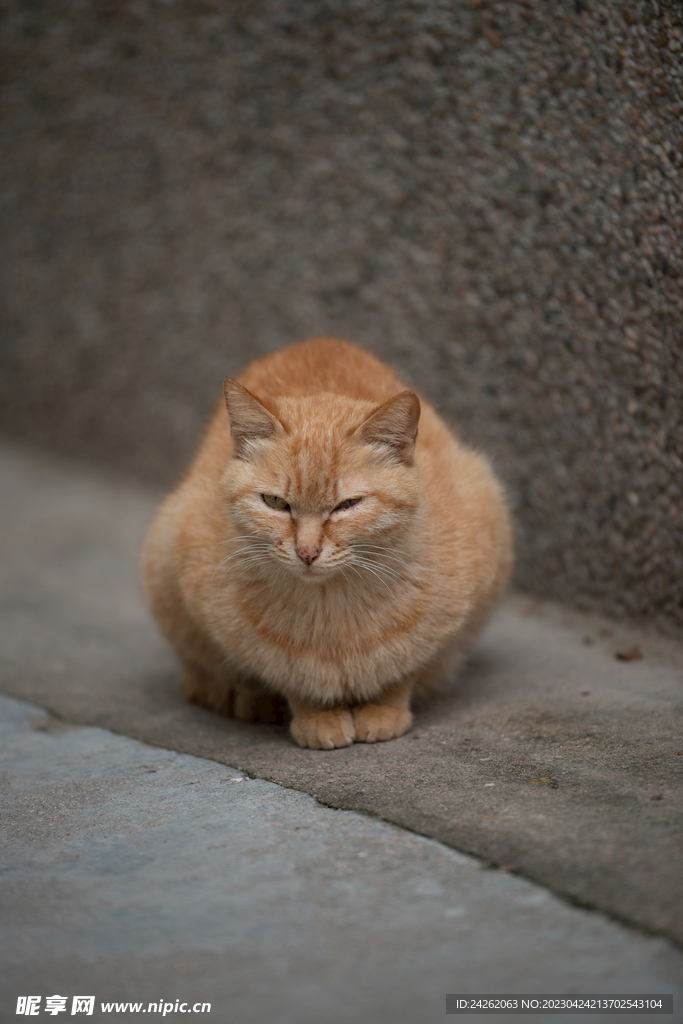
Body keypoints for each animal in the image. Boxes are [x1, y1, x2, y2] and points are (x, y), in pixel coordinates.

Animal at [141, 339, 511, 749]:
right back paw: (241, 696)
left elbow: (402, 671)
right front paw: (317, 717)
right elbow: (295, 679)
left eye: (346, 505)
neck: (330, 609)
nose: (307, 552)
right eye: (275, 503)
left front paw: (384, 710)